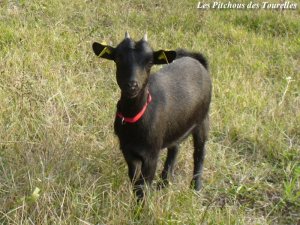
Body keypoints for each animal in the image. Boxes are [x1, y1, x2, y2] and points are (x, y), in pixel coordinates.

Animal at [92, 32, 212, 199]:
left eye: (149, 62)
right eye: (118, 58)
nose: (132, 85)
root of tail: (196, 59)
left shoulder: (151, 154)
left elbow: (143, 186)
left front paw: (141, 205)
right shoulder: (128, 150)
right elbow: (135, 180)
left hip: (203, 118)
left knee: (200, 152)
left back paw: (196, 187)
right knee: (174, 148)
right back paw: (164, 183)